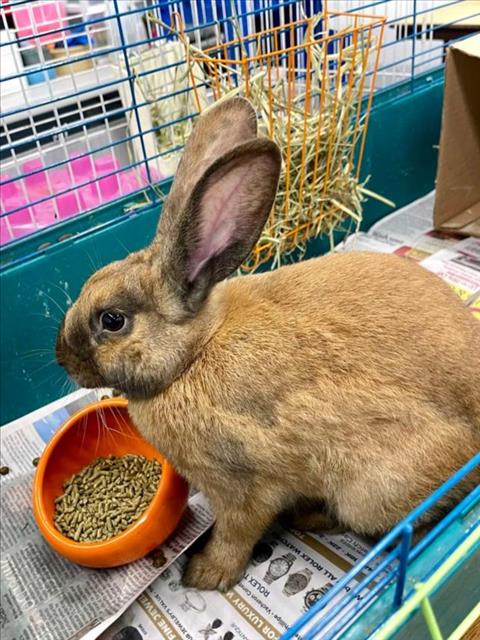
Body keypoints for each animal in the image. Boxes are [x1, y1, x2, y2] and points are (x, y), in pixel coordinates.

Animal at [56, 97, 480, 592]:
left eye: (112, 320)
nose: (61, 358)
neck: (193, 354)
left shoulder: (243, 487)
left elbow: (237, 533)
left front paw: (205, 573)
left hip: (372, 492)